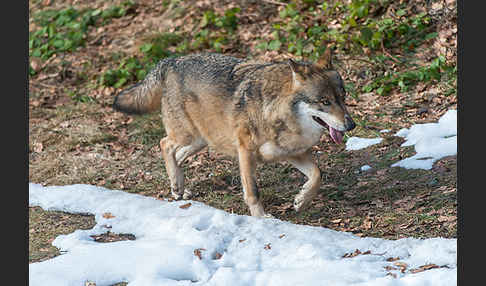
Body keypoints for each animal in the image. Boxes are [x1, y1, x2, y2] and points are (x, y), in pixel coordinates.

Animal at [114, 49, 356, 218]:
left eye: (343, 97)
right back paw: (176, 186)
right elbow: (253, 191)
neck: (276, 111)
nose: (351, 125)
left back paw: (179, 189)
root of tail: (172, 61)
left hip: (202, 141)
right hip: (189, 136)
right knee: (165, 144)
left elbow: (317, 175)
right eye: (324, 102)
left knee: (177, 155)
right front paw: (262, 218)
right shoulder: (246, 151)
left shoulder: (291, 153)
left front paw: (301, 200)